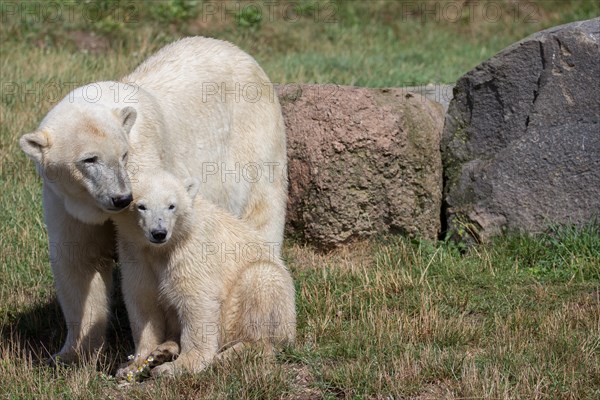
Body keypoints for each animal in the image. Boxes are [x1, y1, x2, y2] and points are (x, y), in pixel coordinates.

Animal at [19, 37, 288, 366]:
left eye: (122, 154)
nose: (121, 198)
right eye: (89, 159)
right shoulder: (64, 199)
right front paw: (70, 353)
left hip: (253, 137)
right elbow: (78, 259)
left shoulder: (146, 161)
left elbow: (138, 257)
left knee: (260, 209)